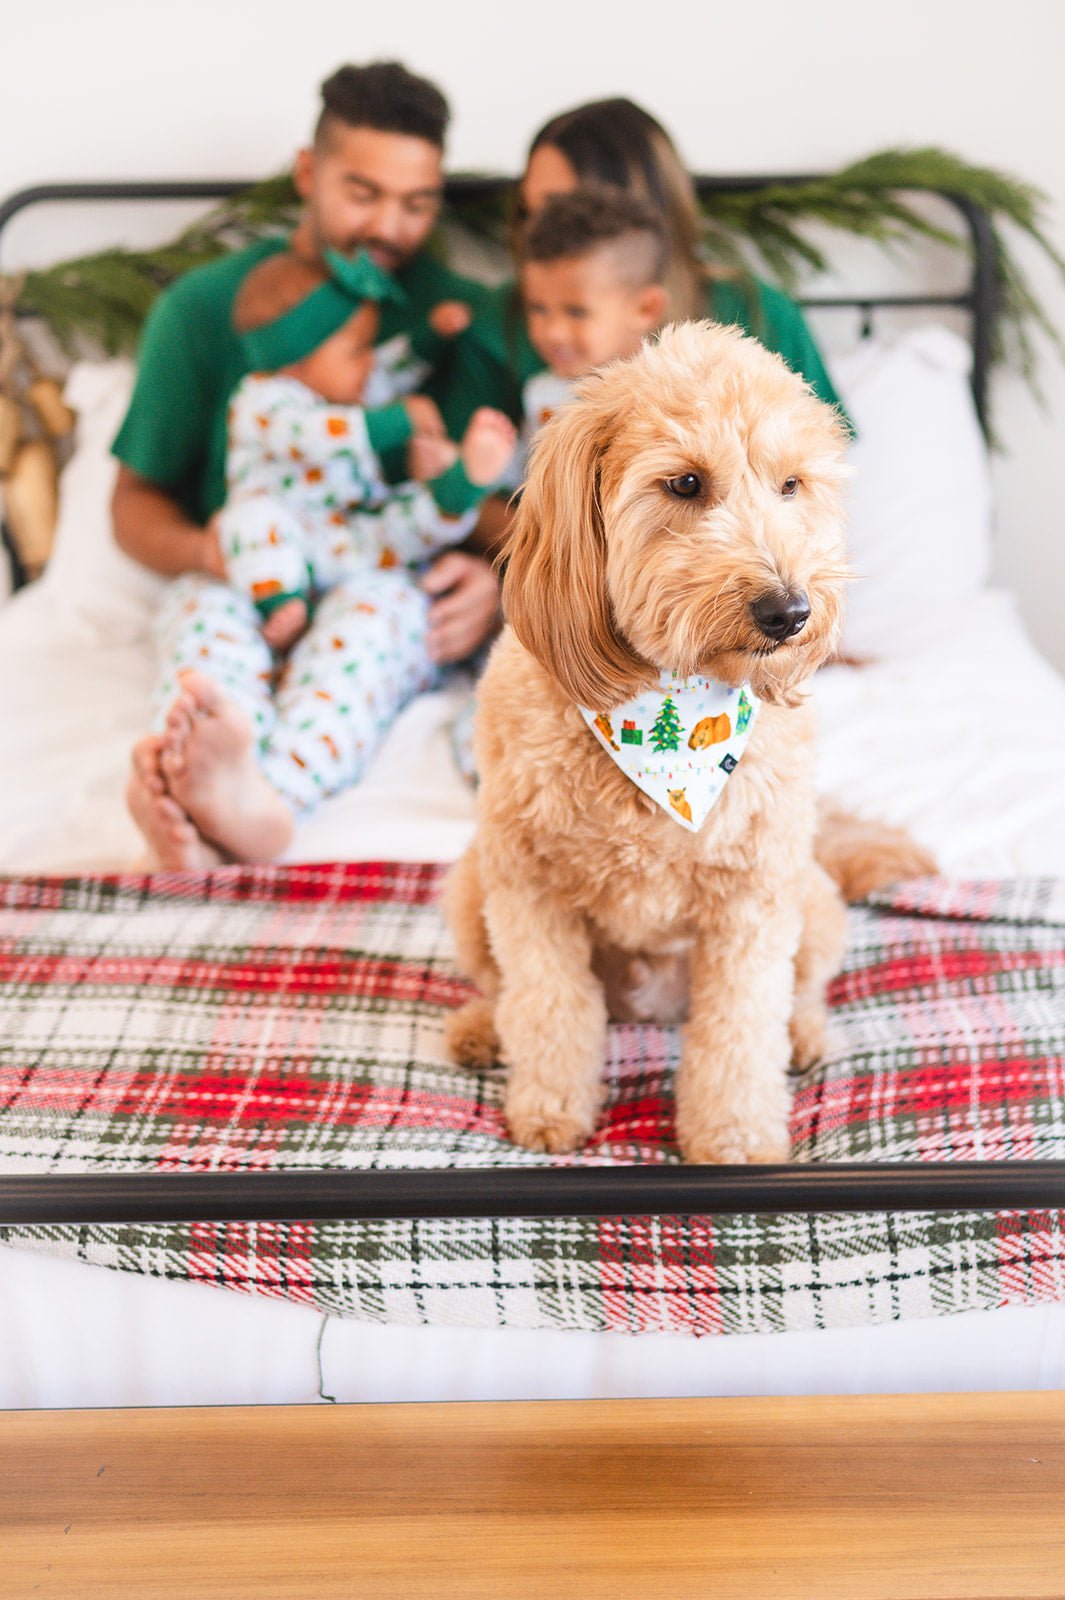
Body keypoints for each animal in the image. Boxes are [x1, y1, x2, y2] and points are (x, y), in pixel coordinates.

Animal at [444, 321, 857, 1164]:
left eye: (790, 486)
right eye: (686, 484)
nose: (789, 611)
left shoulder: (753, 901)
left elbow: (739, 1029)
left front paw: (733, 1138)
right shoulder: (527, 892)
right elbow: (547, 1005)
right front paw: (549, 1111)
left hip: (814, 901)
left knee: (799, 991)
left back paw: (803, 1036)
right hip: (471, 889)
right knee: (501, 990)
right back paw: (480, 1030)